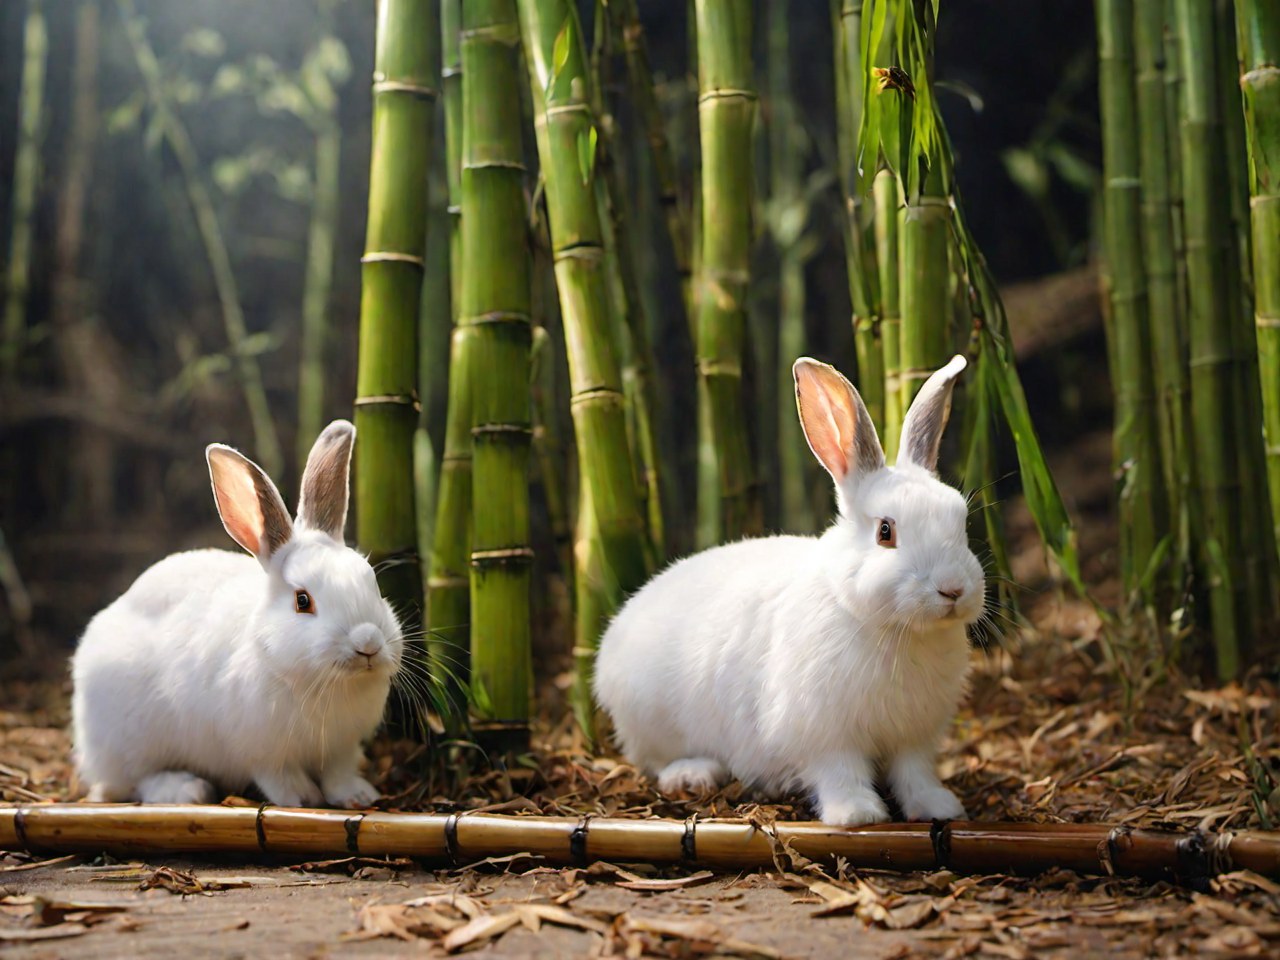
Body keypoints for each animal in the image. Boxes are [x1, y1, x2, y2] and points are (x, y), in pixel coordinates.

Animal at [71, 420, 403, 809]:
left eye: (373, 583)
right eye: (303, 601)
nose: (368, 644)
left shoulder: (341, 747)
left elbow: (339, 773)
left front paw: (358, 797)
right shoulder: (261, 752)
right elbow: (279, 778)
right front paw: (303, 799)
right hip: (129, 741)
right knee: (135, 781)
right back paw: (187, 789)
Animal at [594, 355, 985, 826]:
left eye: (961, 520)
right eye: (885, 532)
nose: (953, 589)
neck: (893, 629)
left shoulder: (914, 736)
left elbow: (915, 773)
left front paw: (939, 808)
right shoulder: (823, 733)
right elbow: (840, 773)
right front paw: (857, 815)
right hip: (653, 721)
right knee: (656, 762)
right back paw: (694, 773)